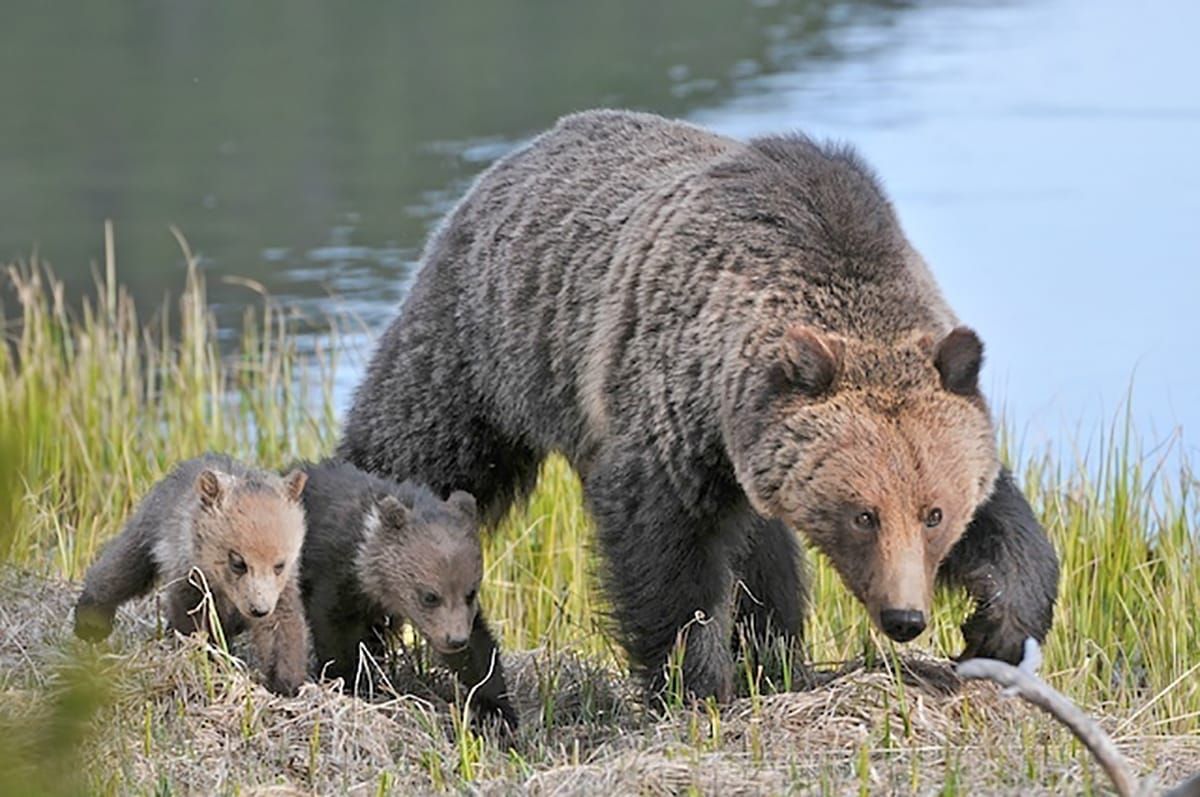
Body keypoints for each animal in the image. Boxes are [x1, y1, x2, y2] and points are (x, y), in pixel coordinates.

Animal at [73, 453, 311, 696]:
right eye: (238, 562)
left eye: (279, 565)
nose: (258, 609)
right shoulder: (191, 578)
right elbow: (194, 625)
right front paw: (207, 664)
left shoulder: (281, 591)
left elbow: (282, 630)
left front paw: (285, 682)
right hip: (149, 530)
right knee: (122, 567)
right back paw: (90, 622)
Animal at [296, 458, 517, 728]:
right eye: (429, 596)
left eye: (471, 592)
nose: (455, 640)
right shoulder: (335, 576)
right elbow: (335, 632)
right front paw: (351, 684)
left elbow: (478, 649)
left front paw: (495, 710)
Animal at [338, 109, 1060, 700]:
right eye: (863, 514)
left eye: (934, 512)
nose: (906, 618)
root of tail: (516, 157)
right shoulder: (672, 405)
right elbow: (668, 560)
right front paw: (698, 683)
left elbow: (1006, 523)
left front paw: (998, 626)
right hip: (487, 344)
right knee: (414, 449)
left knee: (767, 557)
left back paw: (778, 657)